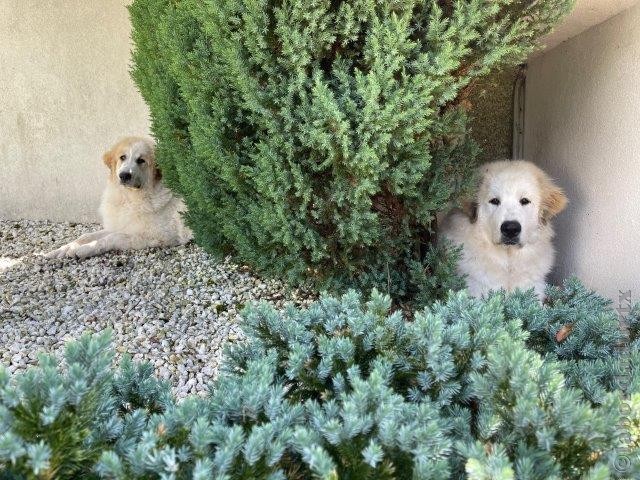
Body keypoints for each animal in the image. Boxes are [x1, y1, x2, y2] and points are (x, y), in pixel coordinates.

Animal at [46, 136, 191, 258]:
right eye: (122, 157)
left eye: (141, 160)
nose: (124, 175)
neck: (129, 198)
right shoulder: (120, 225)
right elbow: (85, 236)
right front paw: (60, 250)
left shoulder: (155, 236)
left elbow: (113, 237)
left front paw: (83, 249)